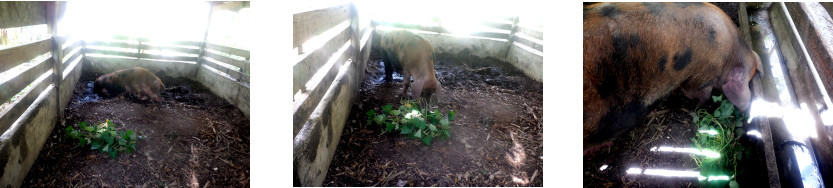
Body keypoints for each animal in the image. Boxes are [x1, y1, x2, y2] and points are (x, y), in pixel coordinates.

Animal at [580, 2, 764, 156]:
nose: (746, 109)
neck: (730, 55)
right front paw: (702, 103)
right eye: (747, 79)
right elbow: (699, 94)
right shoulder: (701, 77)